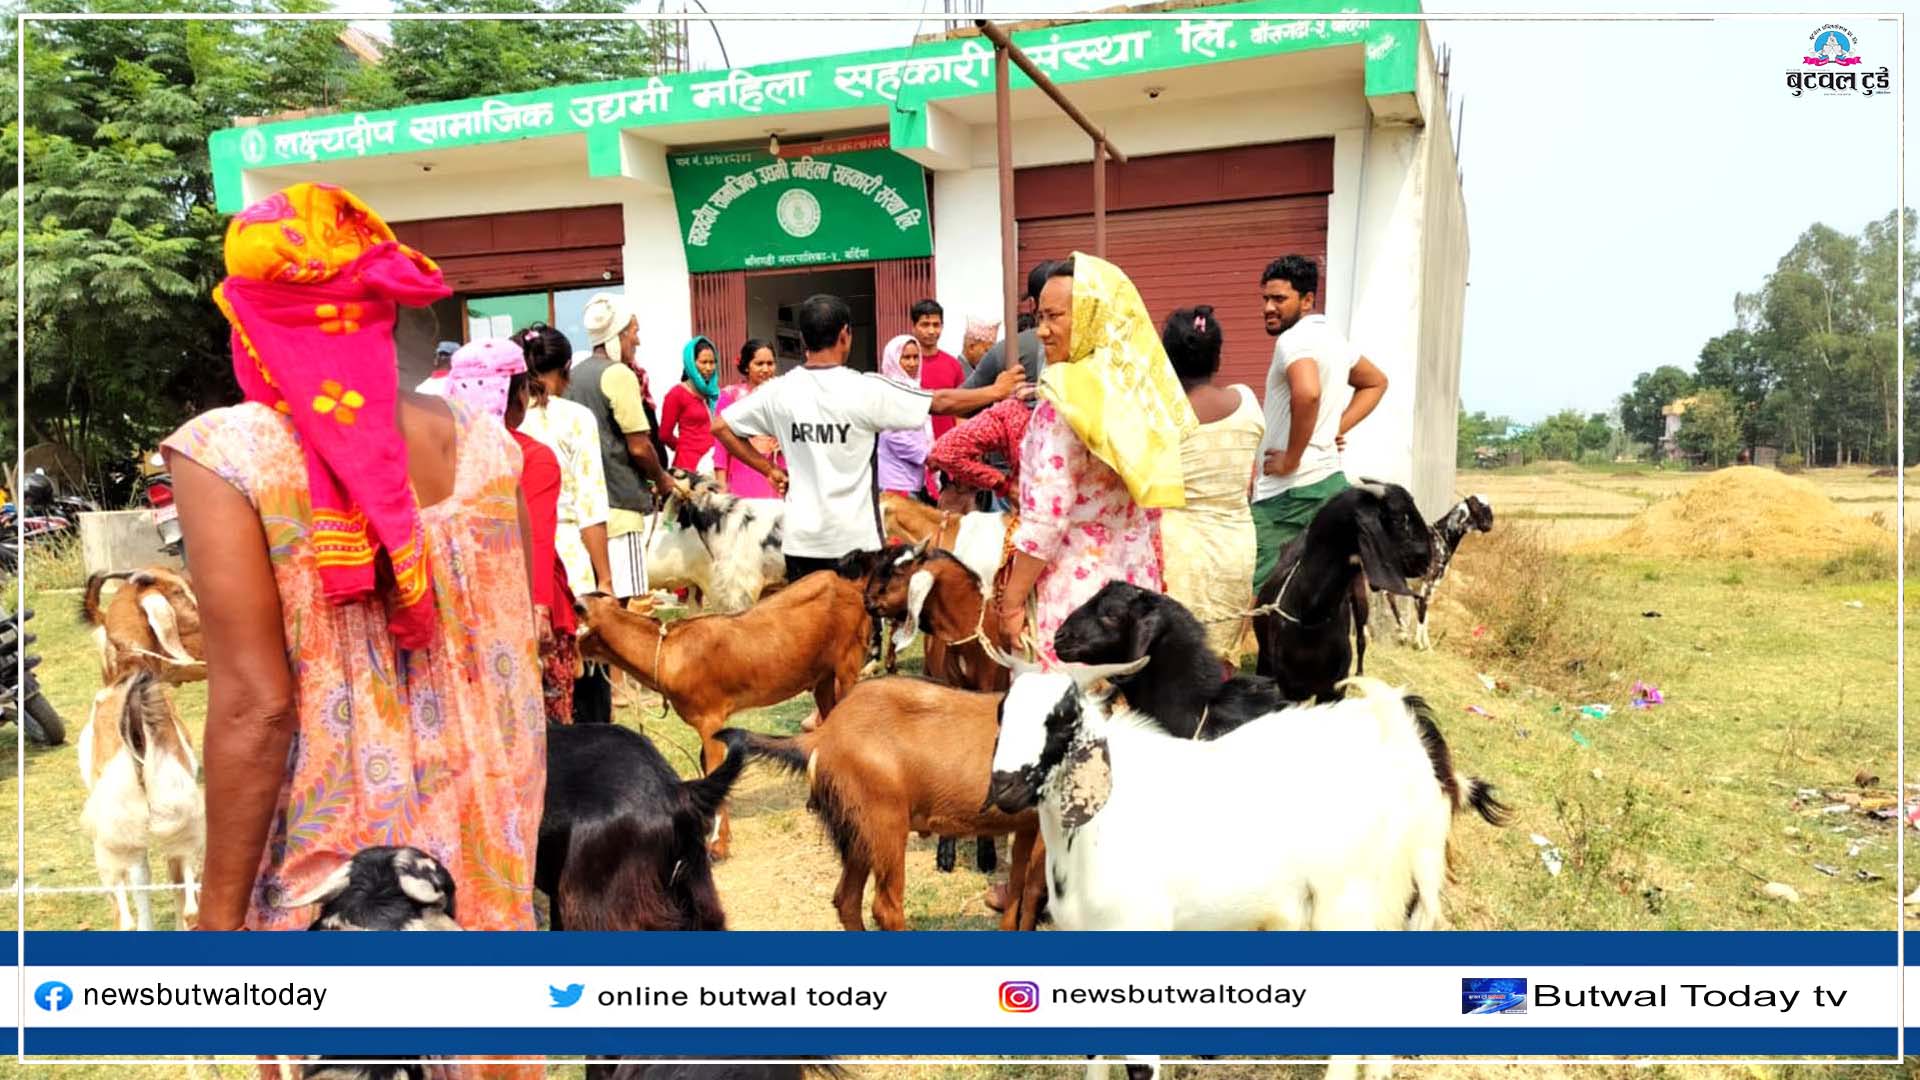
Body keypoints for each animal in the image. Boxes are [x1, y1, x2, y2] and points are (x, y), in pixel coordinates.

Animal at [575, 567, 870, 859]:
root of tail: (852, 585)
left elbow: (714, 767)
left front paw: (718, 844)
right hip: (822, 677)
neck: (667, 652)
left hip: (848, 661)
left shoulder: (710, 718)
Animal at [724, 676, 1047, 932]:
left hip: (858, 831)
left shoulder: (1028, 825)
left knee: (846, 899)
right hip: (886, 824)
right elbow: (1033, 891)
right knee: (886, 907)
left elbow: (1018, 888)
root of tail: (823, 735)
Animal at [1252, 480, 1434, 703]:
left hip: (1360, 600)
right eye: (1399, 518)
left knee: (1361, 639)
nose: (1427, 558)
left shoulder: (1334, 689)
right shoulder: (1288, 688)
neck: (1311, 615)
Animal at [1378, 494, 1494, 650]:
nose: (1490, 525)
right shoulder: (1430, 581)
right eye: (1482, 506)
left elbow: (1423, 612)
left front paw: (1426, 645)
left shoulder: (1419, 584)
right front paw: (1419, 644)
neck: (1443, 536)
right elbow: (1422, 610)